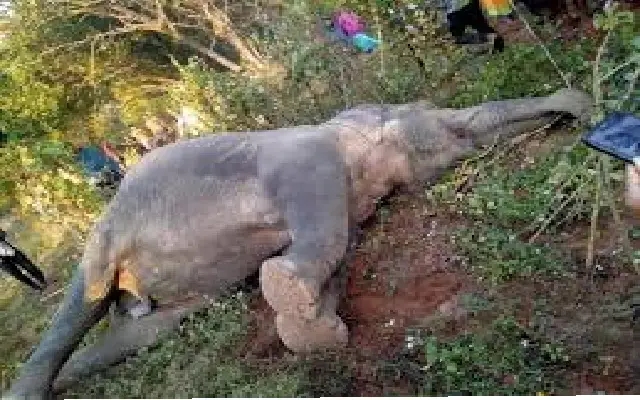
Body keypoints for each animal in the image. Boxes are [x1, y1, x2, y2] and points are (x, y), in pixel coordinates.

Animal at [5, 88, 592, 399]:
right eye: (433, 114)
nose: (577, 107)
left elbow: (340, 254)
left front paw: (311, 329)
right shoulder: (306, 159)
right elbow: (324, 234)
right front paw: (289, 293)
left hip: (164, 302)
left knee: (150, 330)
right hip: (106, 236)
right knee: (83, 298)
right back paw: (28, 390)